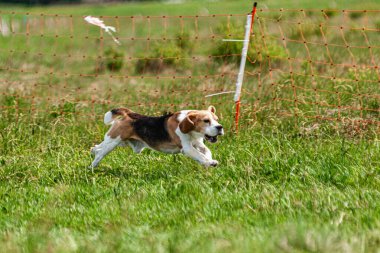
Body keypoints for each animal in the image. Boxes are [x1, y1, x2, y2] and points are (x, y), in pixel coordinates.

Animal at [91, 106, 224, 168]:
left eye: (216, 119)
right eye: (206, 121)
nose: (220, 127)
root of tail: (130, 114)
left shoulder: (197, 143)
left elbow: (206, 151)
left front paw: (208, 161)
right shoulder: (187, 148)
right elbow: (199, 155)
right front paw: (209, 162)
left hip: (119, 141)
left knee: (96, 148)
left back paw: (93, 151)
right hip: (113, 141)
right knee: (99, 154)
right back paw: (92, 167)